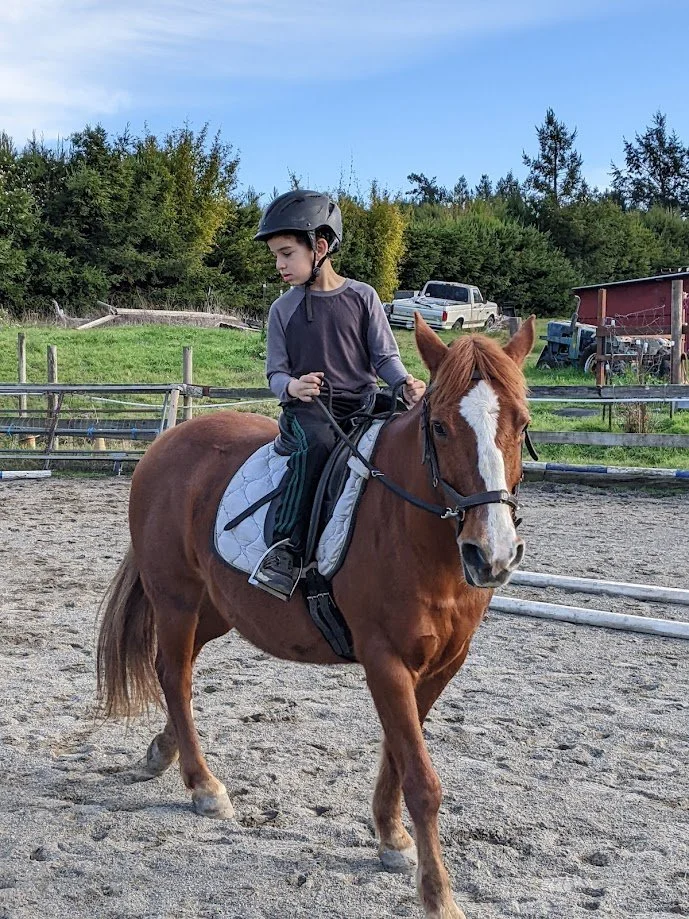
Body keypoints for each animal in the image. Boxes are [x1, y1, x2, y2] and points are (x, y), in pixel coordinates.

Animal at [97, 313, 535, 919]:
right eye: (442, 428)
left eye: (522, 423)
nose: (491, 555)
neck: (413, 531)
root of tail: (166, 443)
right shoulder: (385, 660)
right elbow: (421, 779)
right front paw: (437, 895)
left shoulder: (441, 664)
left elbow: (399, 754)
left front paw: (391, 838)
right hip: (177, 599)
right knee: (174, 676)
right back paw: (203, 786)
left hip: (217, 610)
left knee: (174, 673)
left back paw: (162, 754)